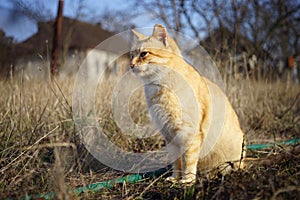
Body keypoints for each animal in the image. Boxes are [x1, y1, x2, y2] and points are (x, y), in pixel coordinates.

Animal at [130, 24, 245, 184]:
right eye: (131, 55)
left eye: (143, 54)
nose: (131, 65)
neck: (159, 88)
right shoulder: (169, 136)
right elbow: (176, 162)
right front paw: (175, 178)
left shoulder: (189, 134)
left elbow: (188, 161)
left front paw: (187, 180)